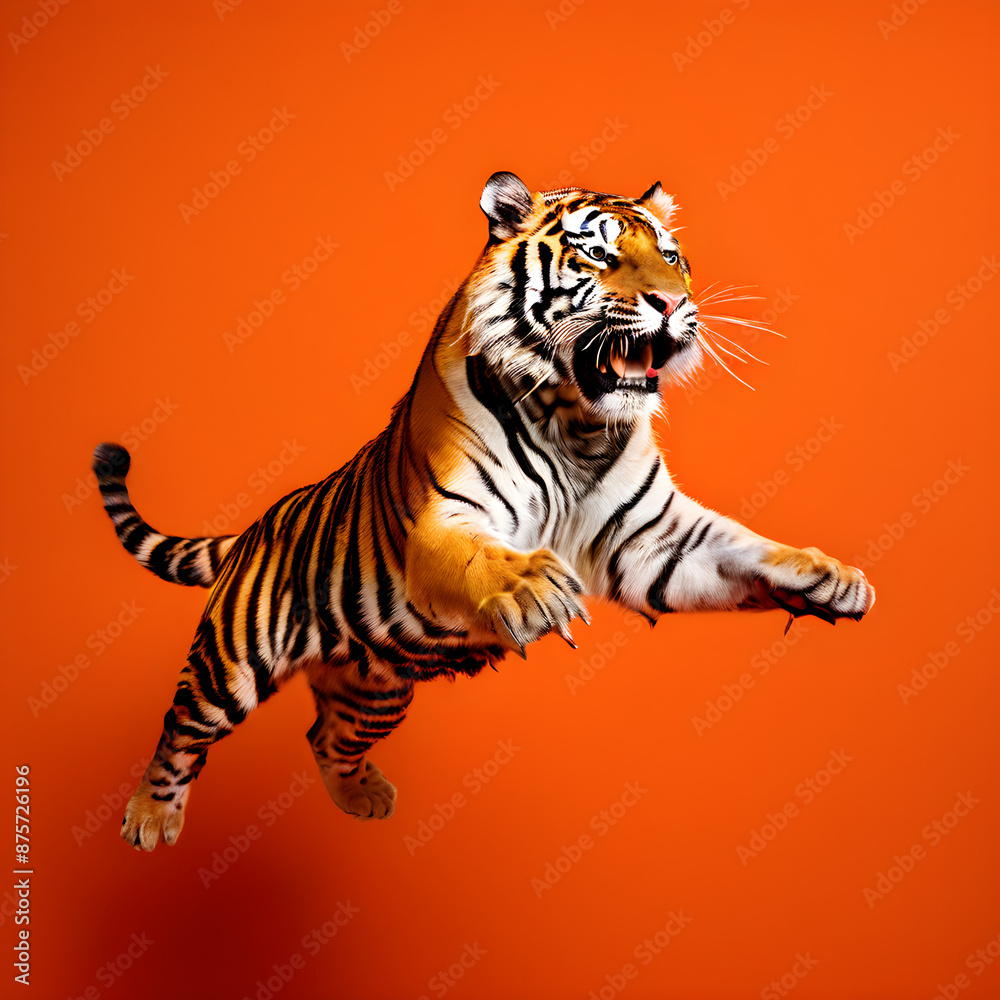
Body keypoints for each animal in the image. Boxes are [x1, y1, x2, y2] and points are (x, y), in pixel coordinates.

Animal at [93, 171, 875, 852]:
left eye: (672, 257)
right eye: (599, 253)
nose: (670, 304)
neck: (580, 423)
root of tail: (256, 527)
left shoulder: (653, 542)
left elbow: (745, 547)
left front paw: (829, 577)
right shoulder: (443, 519)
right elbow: (482, 555)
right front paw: (533, 587)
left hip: (376, 691)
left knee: (323, 736)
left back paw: (361, 797)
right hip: (233, 660)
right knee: (180, 729)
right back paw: (149, 819)